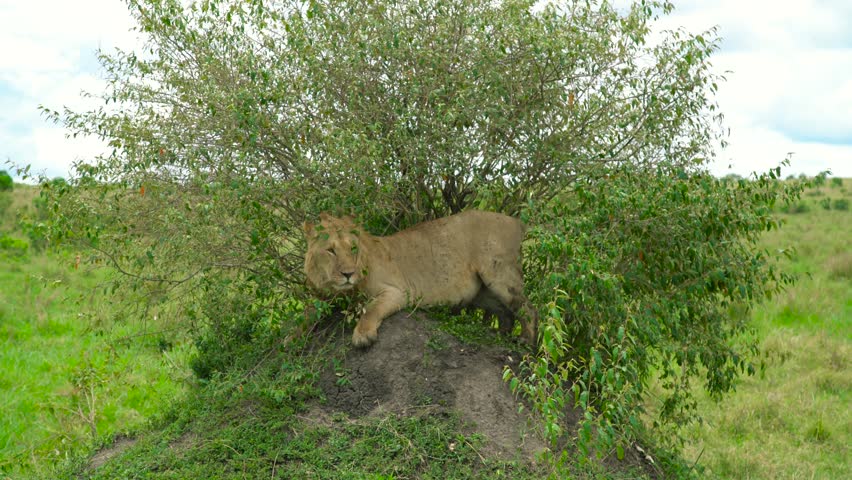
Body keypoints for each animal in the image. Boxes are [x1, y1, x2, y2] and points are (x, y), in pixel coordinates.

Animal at [303, 210, 538, 347]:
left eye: (352, 248)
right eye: (330, 250)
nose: (348, 274)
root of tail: (517, 221)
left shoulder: (398, 292)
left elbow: (371, 309)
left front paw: (363, 335)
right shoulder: (324, 298)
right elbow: (307, 315)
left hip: (500, 275)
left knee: (528, 308)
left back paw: (526, 341)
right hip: (481, 293)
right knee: (505, 312)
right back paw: (500, 335)